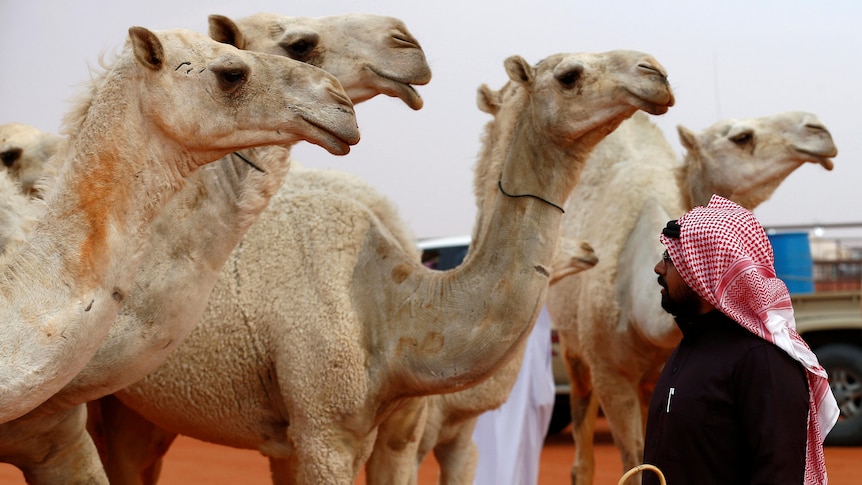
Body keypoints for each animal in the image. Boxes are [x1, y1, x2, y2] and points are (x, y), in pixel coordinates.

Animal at [91, 49, 676, 484]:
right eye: (570, 74)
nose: (656, 72)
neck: (390, 305)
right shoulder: (323, 432)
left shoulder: (391, 436)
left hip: (134, 408)